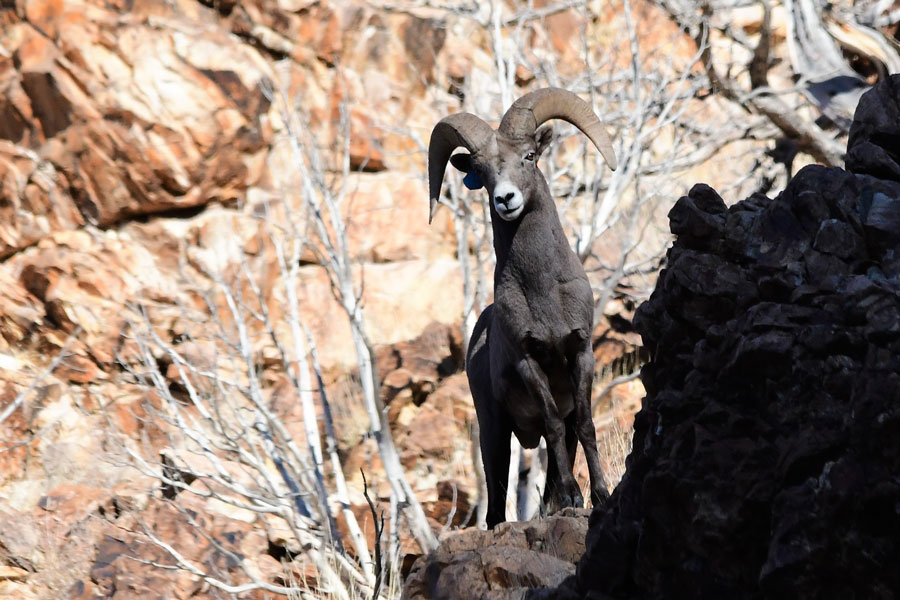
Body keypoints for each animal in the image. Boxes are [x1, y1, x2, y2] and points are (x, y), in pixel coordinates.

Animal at [427, 88, 618, 528]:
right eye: (482, 173)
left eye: (529, 156)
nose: (505, 199)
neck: (543, 292)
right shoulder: (529, 362)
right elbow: (551, 424)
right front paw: (574, 498)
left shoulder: (581, 353)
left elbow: (585, 426)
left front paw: (598, 496)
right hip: (494, 433)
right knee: (496, 505)